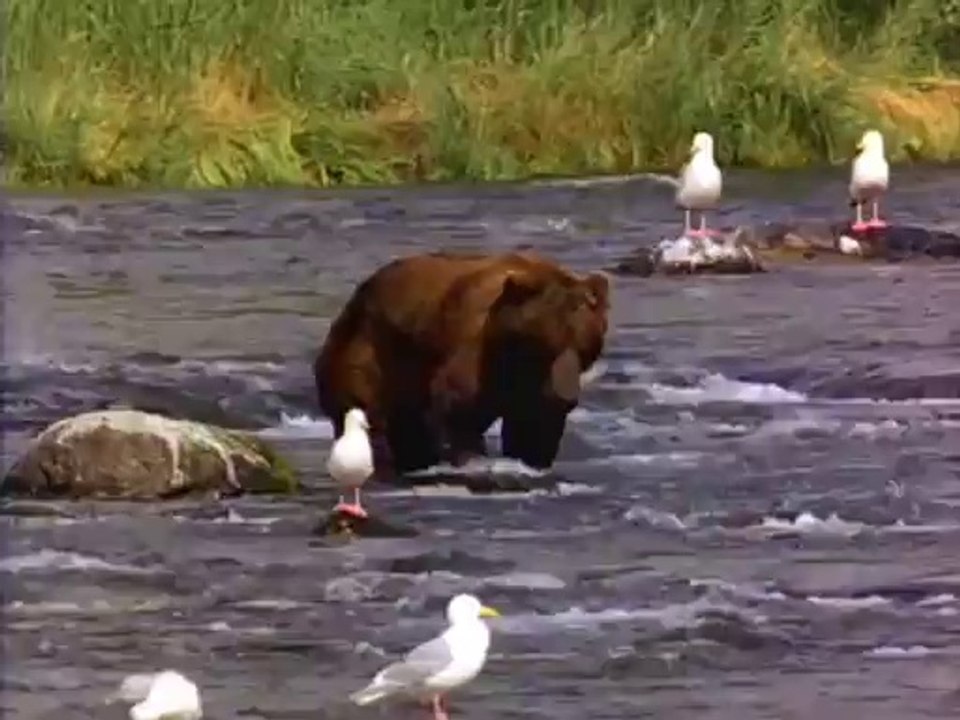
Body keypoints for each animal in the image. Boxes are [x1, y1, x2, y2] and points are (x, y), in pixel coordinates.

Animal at [313, 250, 611, 475]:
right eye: (548, 343)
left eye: (587, 346)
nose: (567, 395)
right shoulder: (474, 348)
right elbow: (459, 409)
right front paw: (472, 459)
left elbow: (534, 424)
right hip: (370, 352)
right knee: (371, 417)